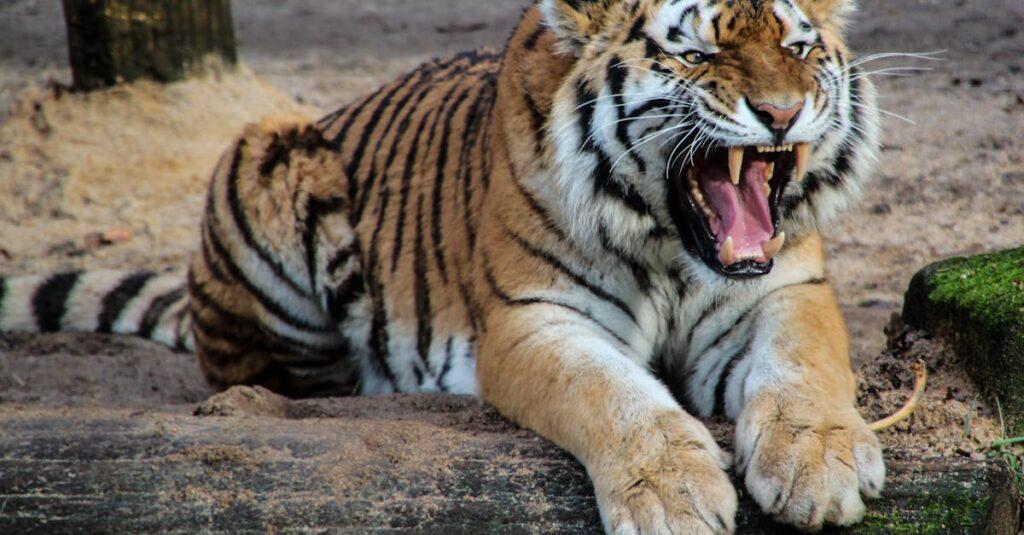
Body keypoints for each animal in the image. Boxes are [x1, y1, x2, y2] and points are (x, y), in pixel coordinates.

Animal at [0, 0, 884, 528]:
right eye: (697, 56)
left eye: (797, 47)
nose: (781, 113)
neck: (671, 244)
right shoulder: (533, 319)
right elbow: (614, 395)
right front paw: (674, 493)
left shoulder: (786, 288)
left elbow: (804, 365)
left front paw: (820, 462)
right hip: (267, 152)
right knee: (266, 374)